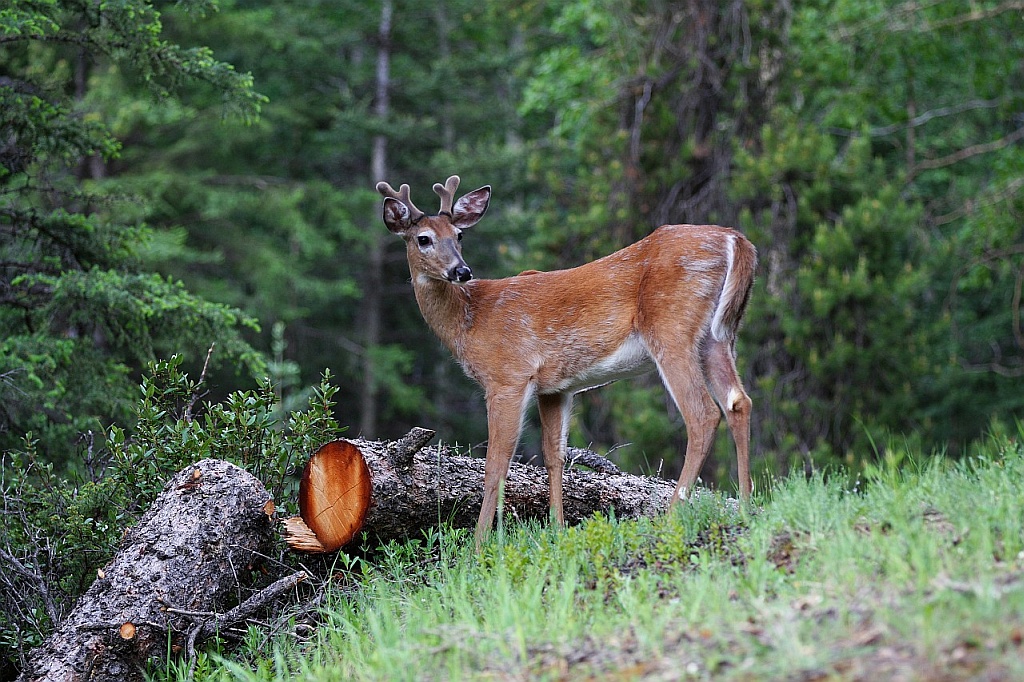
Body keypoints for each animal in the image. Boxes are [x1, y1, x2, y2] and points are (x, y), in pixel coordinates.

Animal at [380, 175, 757, 540]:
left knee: (703, 414)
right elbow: (554, 455)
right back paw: (745, 505)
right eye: (423, 239)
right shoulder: (555, 388)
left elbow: (496, 464)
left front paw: (479, 543)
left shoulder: (507, 375)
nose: (461, 271)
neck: (470, 319)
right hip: (718, 336)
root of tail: (735, 239)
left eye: (458, 235)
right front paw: (558, 530)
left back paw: (672, 516)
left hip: (671, 328)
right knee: (738, 401)